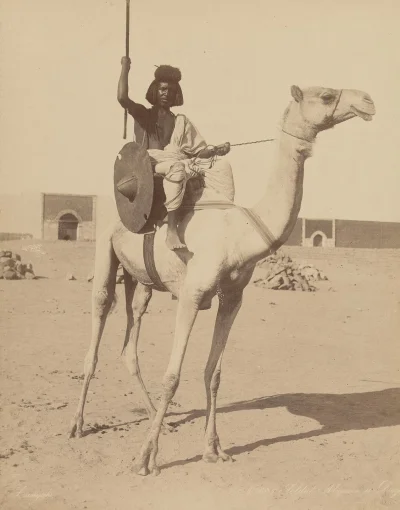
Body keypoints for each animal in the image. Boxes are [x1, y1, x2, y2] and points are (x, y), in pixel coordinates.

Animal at [69, 83, 376, 474]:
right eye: (324, 95)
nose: (367, 101)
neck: (240, 234)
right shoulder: (191, 294)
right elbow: (172, 376)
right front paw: (146, 457)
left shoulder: (233, 297)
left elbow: (213, 373)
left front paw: (213, 449)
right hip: (106, 251)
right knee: (98, 320)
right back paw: (78, 424)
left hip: (141, 279)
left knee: (131, 334)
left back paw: (157, 417)